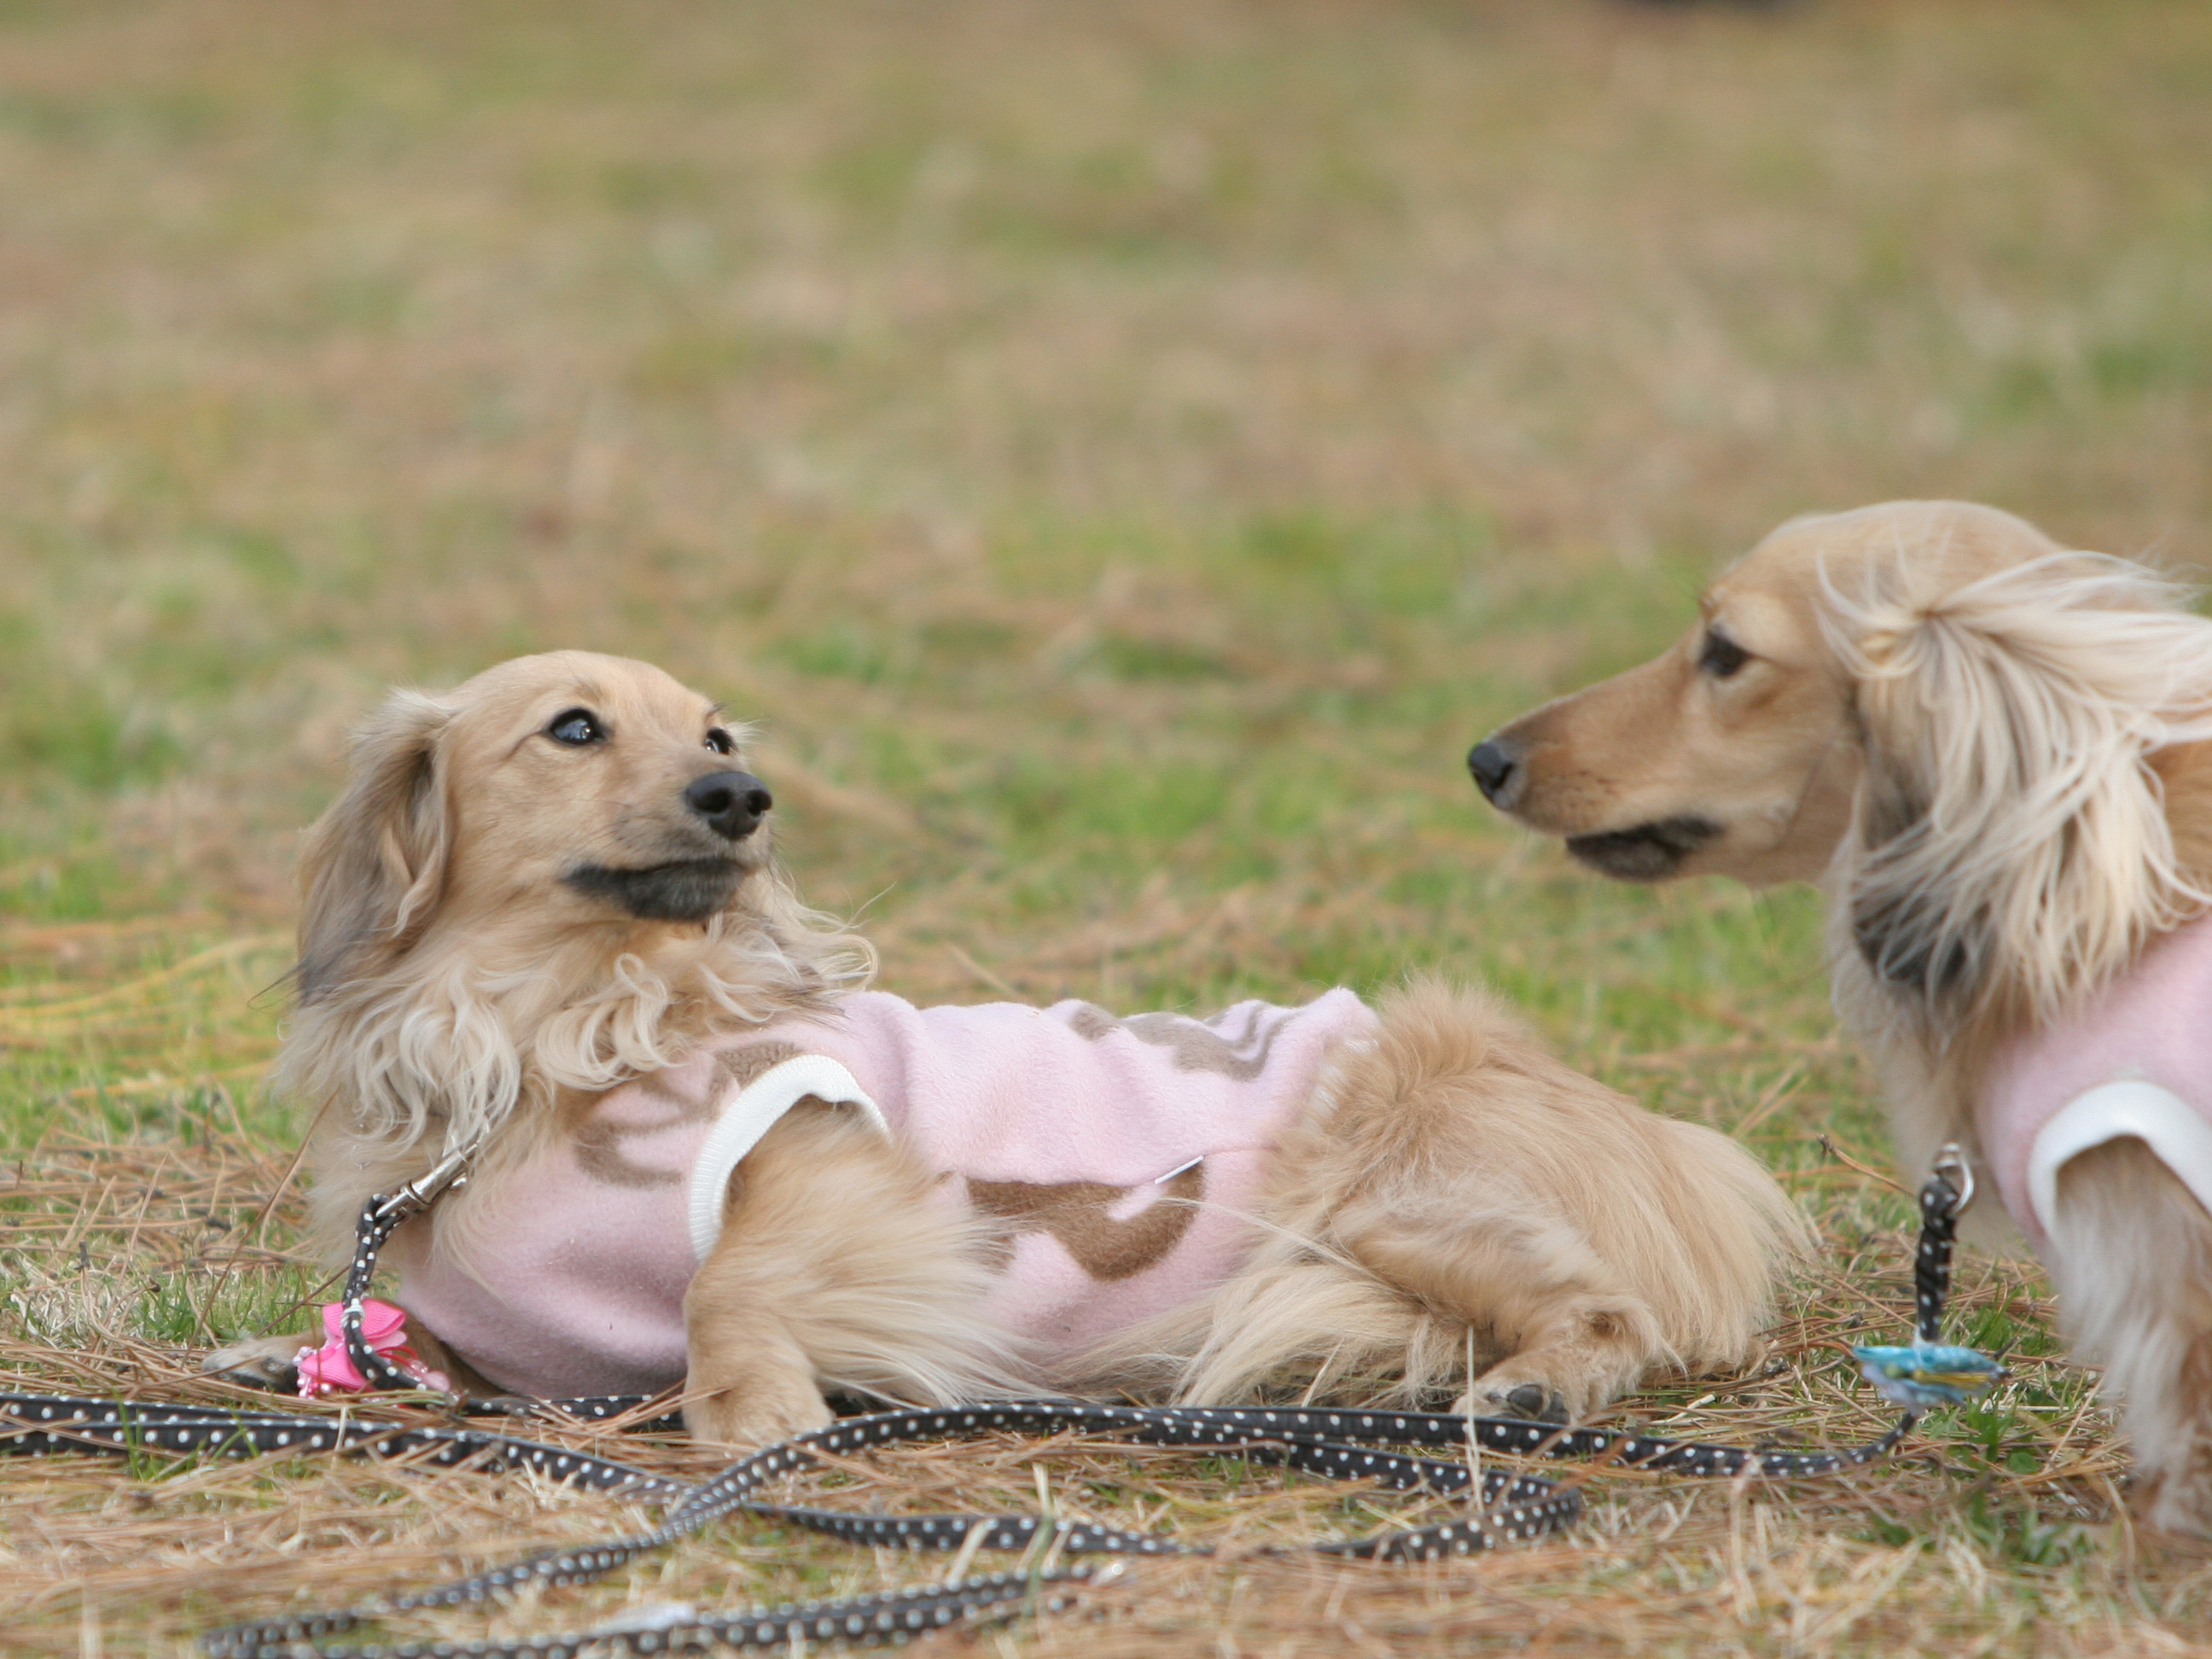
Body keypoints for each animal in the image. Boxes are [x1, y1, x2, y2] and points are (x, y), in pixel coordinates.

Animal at [206, 650, 1805, 1448]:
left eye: (716, 732)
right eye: (574, 729)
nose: (743, 794)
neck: (557, 1042)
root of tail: (1667, 1144)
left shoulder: (831, 1160)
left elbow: (730, 1286)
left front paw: (757, 1410)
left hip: (1377, 1198)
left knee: (1606, 1311)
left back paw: (1536, 1385)